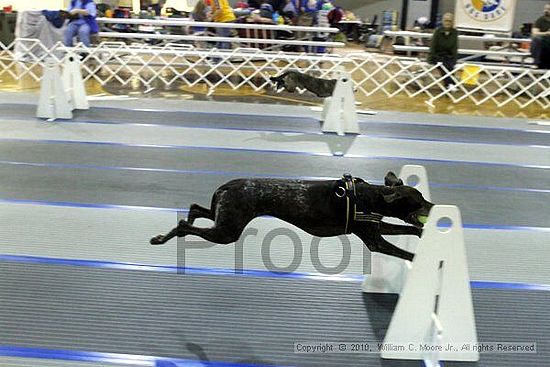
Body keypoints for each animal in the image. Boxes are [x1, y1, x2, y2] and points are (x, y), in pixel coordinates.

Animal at [151, 172, 436, 262]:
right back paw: (162, 238)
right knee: (184, 225)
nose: (434, 206)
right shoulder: (374, 241)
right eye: (420, 201)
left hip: (223, 219)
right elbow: (406, 253)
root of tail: (226, 187)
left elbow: (409, 229)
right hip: (227, 231)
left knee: (195, 209)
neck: (370, 196)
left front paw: (423, 232)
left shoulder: (377, 228)